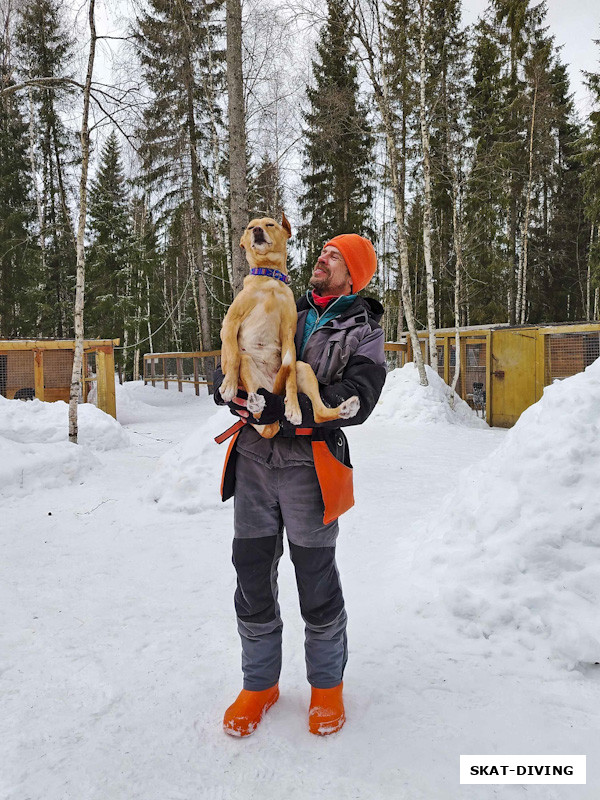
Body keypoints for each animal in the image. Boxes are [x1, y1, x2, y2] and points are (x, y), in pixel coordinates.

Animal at [220, 212, 360, 438]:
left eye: (270, 224)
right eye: (250, 227)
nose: (257, 230)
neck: (269, 279)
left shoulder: (288, 334)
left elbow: (291, 381)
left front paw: (293, 408)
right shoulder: (230, 323)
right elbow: (231, 356)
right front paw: (228, 386)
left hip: (302, 367)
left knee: (318, 413)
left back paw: (346, 409)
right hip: (247, 360)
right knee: (255, 408)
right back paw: (254, 402)